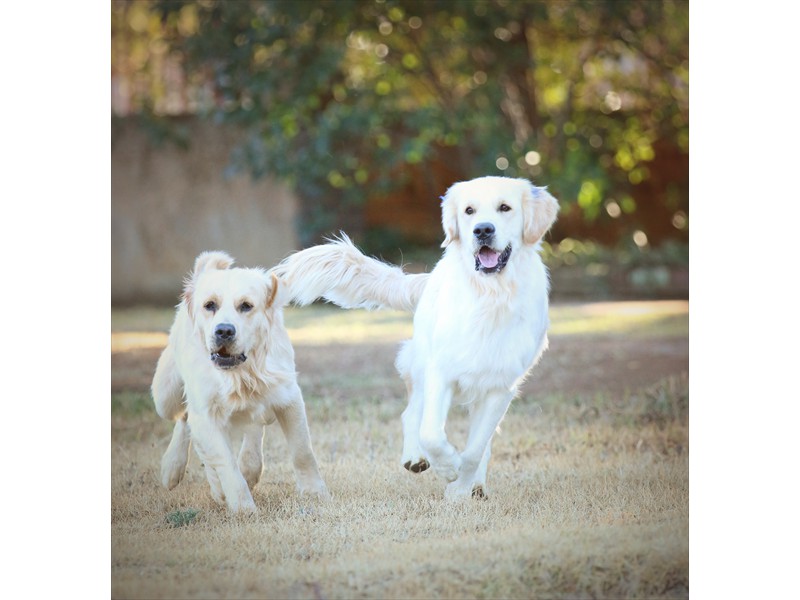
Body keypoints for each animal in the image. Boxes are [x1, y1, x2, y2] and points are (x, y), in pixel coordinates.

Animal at [153, 251, 328, 512]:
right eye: (210, 305)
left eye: (246, 306)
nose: (224, 331)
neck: (241, 374)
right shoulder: (205, 414)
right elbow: (225, 463)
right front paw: (242, 506)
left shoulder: (288, 397)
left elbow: (302, 451)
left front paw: (314, 492)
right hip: (165, 397)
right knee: (184, 419)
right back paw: (172, 467)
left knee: (254, 426)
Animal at [274, 176, 556, 500]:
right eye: (469, 210)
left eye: (505, 208)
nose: (483, 230)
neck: (490, 296)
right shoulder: (440, 371)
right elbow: (431, 433)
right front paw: (449, 468)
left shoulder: (501, 386)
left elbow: (475, 448)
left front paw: (460, 489)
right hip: (421, 364)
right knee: (412, 415)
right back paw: (416, 457)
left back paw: (476, 484)